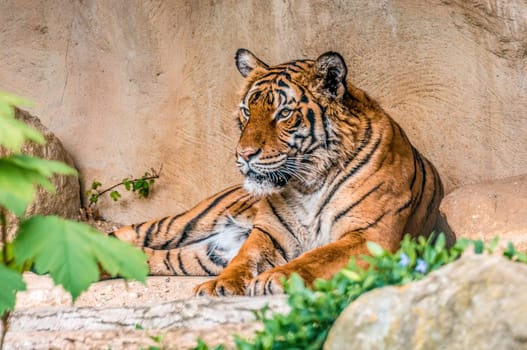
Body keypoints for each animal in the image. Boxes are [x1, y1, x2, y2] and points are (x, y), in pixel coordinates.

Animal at [110, 48, 450, 296]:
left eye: (284, 113)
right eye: (247, 111)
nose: (244, 154)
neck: (311, 182)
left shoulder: (370, 236)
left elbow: (316, 257)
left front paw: (275, 278)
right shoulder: (269, 233)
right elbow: (244, 259)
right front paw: (221, 285)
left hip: (200, 255)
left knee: (146, 255)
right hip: (187, 222)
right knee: (126, 235)